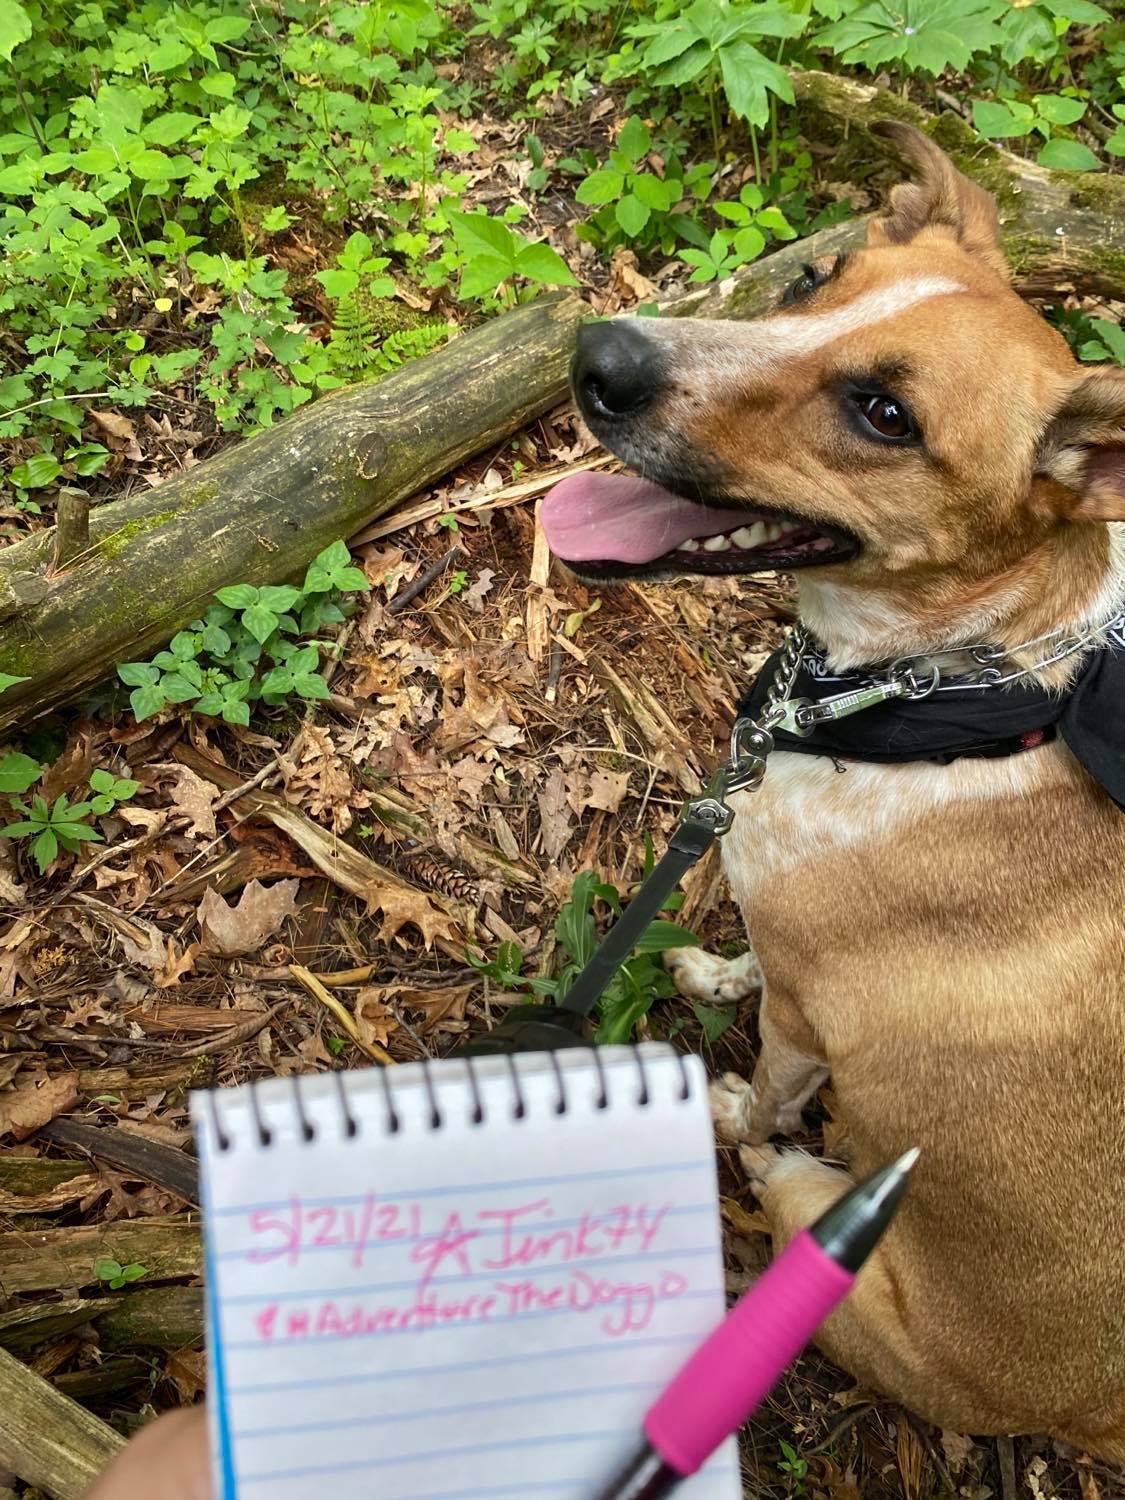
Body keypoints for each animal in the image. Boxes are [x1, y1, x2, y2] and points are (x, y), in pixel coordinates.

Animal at [540, 123, 1125, 1458]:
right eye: (815, 278)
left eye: (885, 414)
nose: (601, 355)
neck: (948, 699)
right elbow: (748, 959)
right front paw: (711, 974)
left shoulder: (812, 1028)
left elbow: (769, 1086)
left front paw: (729, 1103)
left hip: (835, 1238)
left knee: (793, 1175)